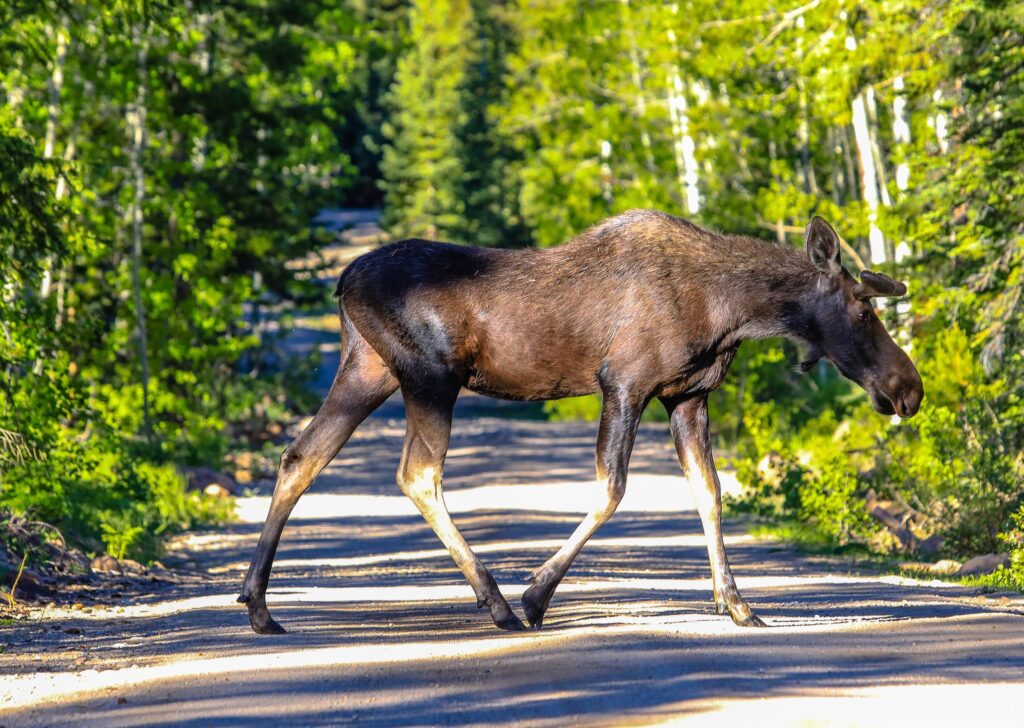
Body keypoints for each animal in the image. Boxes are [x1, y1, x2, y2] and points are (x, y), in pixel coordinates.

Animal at [237, 208, 921, 630]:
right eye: (863, 310)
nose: (908, 389)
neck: (733, 313)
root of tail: (343, 279)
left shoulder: (687, 397)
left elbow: (709, 494)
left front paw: (738, 605)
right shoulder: (624, 383)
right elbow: (611, 489)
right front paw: (535, 595)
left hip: (368, 369)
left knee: (301, 455)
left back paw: (259, 604)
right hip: (429, 377)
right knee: (417, 474)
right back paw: (496, 602)